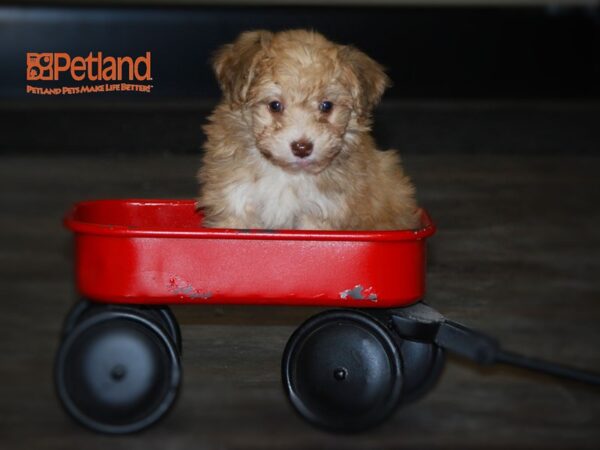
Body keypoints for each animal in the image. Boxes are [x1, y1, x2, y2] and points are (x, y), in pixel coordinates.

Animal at [199, 29, 420, 230]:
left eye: (326, 106)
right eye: (274, 105)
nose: (302, 147)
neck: (288, 174)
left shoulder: (321, 213)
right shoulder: (236, 203)